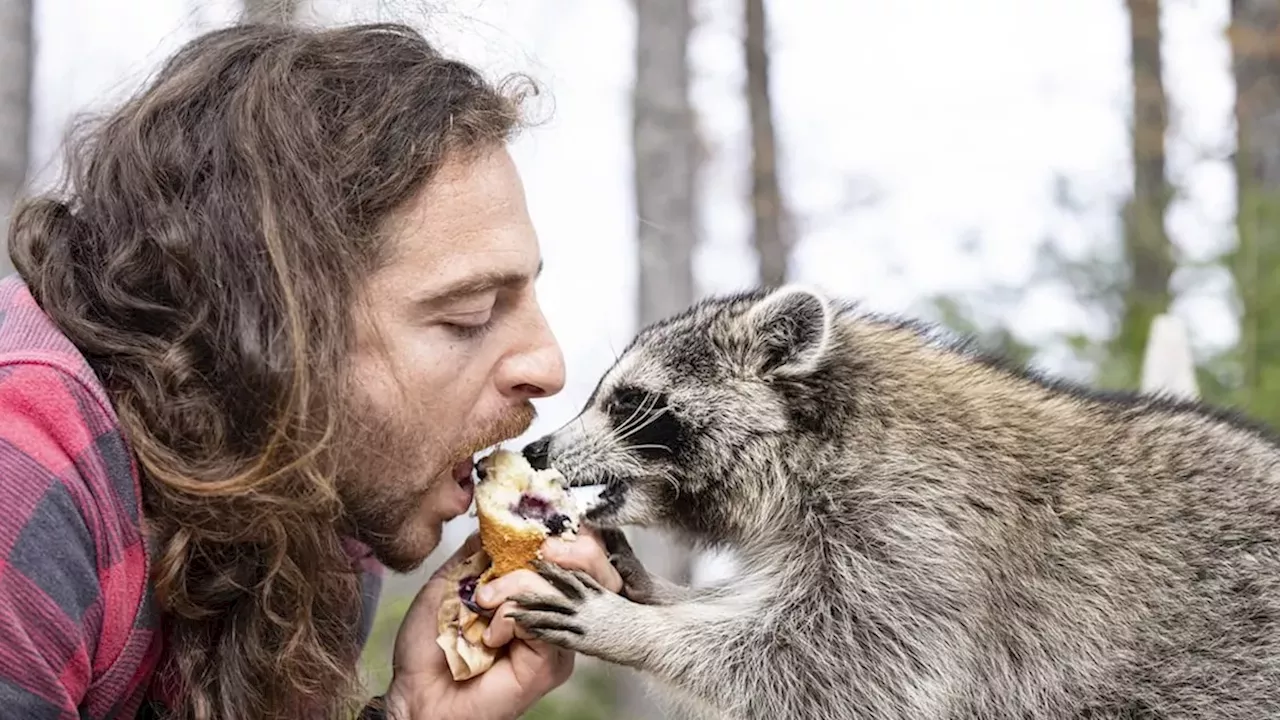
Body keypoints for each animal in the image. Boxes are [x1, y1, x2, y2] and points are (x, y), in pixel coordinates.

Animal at [506, 284, 1280, 720]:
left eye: (627, 401)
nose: (537, 451)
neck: (816, 444)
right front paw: (664, 597)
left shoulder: (922, 531)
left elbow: (836, 664)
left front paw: (640, 630)